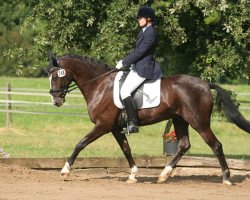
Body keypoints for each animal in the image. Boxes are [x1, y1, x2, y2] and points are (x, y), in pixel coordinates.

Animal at [47, 54, 249, 185]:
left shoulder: (103, 126)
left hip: (199, 122)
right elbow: (126, 149)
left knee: (216, 145)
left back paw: (226, 178)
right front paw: (133, 175)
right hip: (180, 120)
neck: (100, 84)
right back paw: (163, 175)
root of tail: (205, 84)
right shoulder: (114, 128)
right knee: (184, 145)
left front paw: (65, 170)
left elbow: (80, 143)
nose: (56, 101)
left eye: (56, 76)